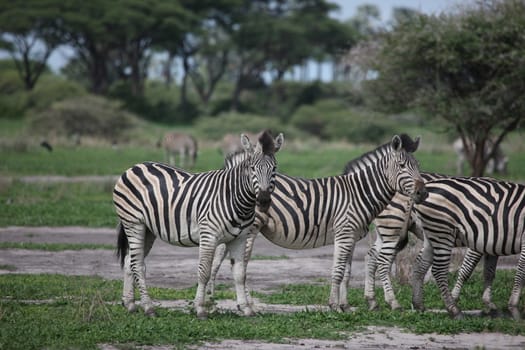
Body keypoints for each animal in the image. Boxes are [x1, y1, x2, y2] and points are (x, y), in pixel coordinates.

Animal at [111, 130, 282, 318]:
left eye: (274, 169)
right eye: (252, 169)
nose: (264, 201)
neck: (233, 197)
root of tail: (135, 166)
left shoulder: (240, 238)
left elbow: (240, 273)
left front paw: (246, 309)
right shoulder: (209, 235)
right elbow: (204, 271)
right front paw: (200, 308)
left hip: (148, 229)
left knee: (130, 261)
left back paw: (130, 304)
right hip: (134, 223)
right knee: (138, 265)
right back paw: (148, 308)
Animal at [208, 135, 426, 312]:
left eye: (418, 165)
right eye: (402, 166)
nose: (422, 193)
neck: (358, 193)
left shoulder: (351, 236)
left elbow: (346, 272)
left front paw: (345, 305)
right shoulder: (344, 233)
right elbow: (337, 271)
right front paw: (334, 306)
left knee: (221, 257)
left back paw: (213, 300)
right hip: (250, 229)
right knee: (240, 265)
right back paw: (247, 304)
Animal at [364, 173, 524, 320]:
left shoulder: (493, 243)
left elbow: (489, 273)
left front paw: (489, 304)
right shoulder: (481, 240)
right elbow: (466, 270)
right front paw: (455, 297)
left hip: (388, 231)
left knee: (372, 257)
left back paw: (373, 301)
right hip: (394, 226)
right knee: (384, 261)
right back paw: (394, 302)